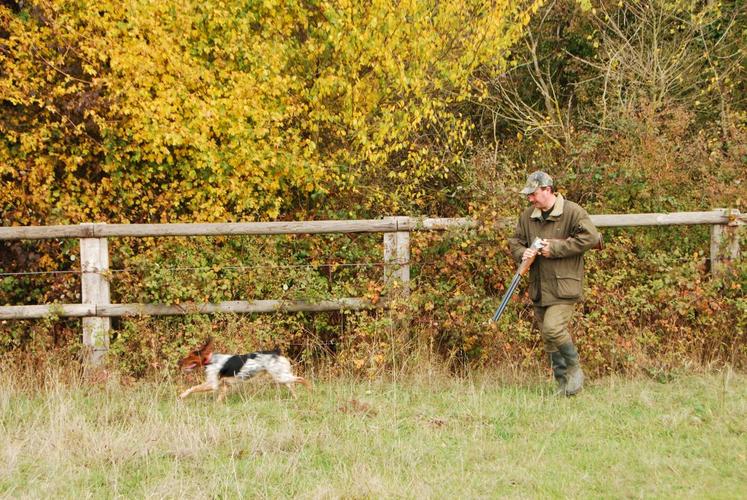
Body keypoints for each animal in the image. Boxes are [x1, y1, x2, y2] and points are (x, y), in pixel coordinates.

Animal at [178, 338, 310, 400]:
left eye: (190, 356)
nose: (179, 361)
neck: (211, 360)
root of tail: (276, 352)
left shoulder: (212, 384)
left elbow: (193, 388)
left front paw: (182, 395)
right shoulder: (224, 386)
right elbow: (219, 399)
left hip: (280, 376)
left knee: (302, 379)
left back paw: (310, 391)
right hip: (281, 376)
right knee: (293, 385)